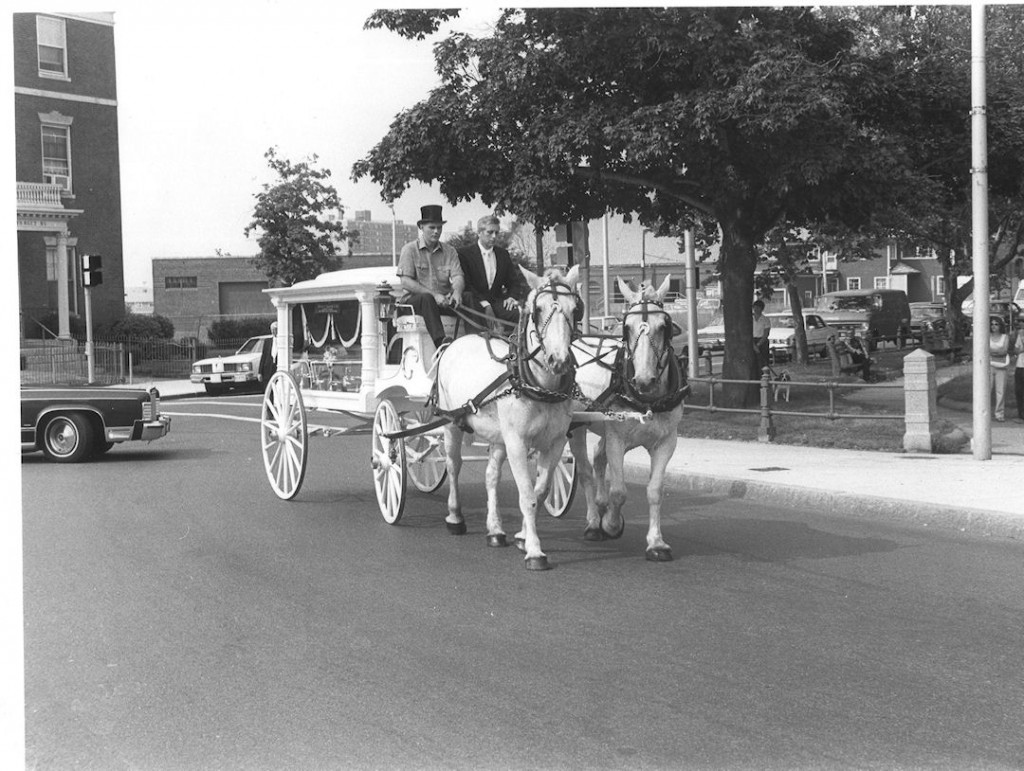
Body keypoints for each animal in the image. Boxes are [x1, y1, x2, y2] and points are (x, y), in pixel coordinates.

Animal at [432, 264, 577, 573]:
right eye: (537, 310)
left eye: (575, 308)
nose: (559, 361)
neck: (538, 385)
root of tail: (456, 341)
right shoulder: (518, 443)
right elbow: (527, 496)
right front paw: (534, 551)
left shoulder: (556, 442)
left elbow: (541, 491)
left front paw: (522, 537)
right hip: (451, 423)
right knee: (453, 465)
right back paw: (455, 517)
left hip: (499, 437)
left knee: (491, 476)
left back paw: (495, 530)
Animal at [569, 274, 688, 561]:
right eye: (627, 328)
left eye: (664, 326)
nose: (644, 380)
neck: (647, 399)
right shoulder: (617, 439)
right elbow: (619, 491)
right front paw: (611, 525)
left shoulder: (666, 442)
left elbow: (655, 491)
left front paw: (656, 543)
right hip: (577, 428)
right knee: (586, 471)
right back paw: (594, 523)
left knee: (598, 458)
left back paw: (600, 507)